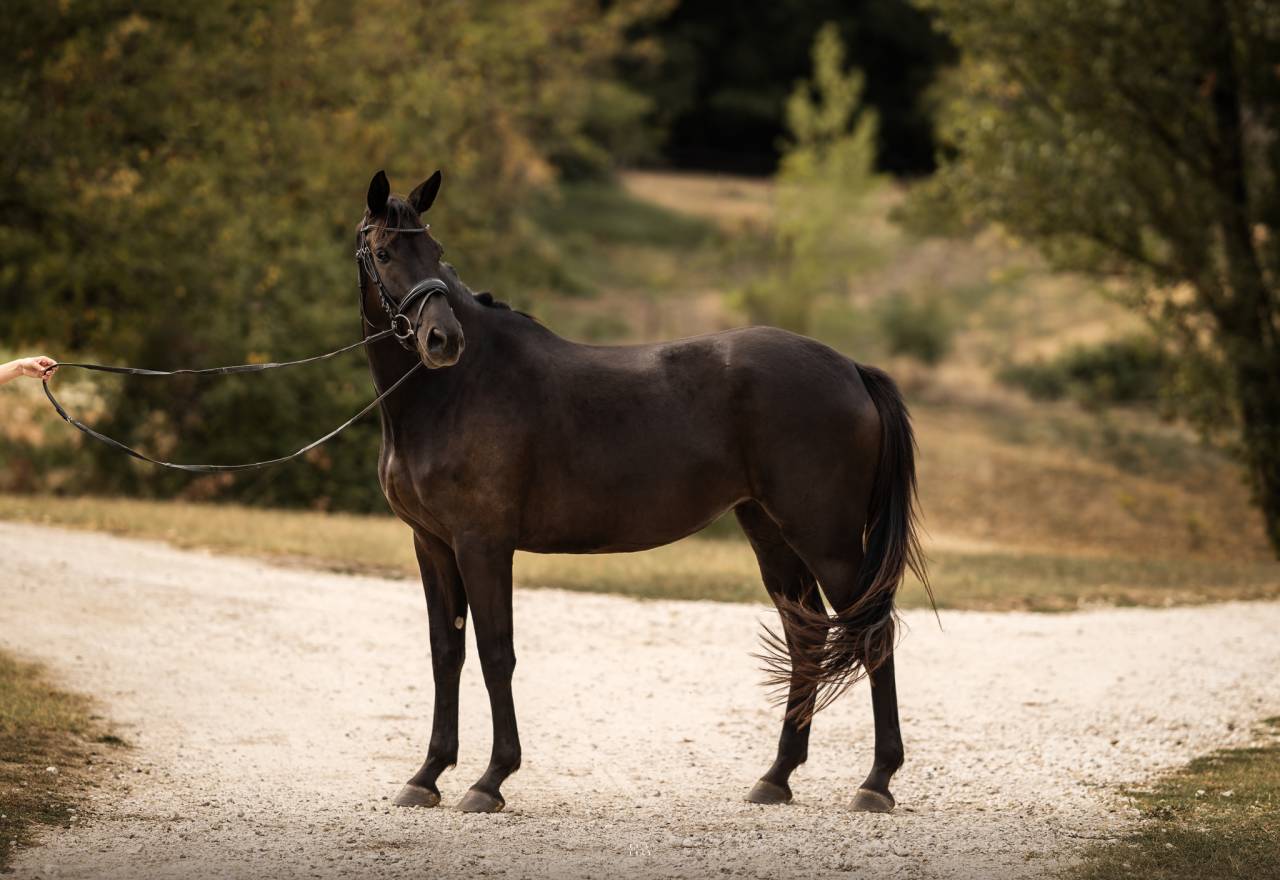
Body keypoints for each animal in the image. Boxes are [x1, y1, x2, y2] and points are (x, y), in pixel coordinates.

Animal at [357, 169, 926, 814]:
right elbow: (445, 653)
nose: (442, 339)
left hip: (827, 539)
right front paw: (427, 775)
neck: (458, 389)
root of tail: (852, 368)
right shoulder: (432, 544)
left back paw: (876, 782)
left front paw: (490, 779)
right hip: (772, 533)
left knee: (872, 634)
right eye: (384, 252)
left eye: (435, 251)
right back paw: (776, 777)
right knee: (807, 639)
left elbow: (495, 653)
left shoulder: (483, 544)